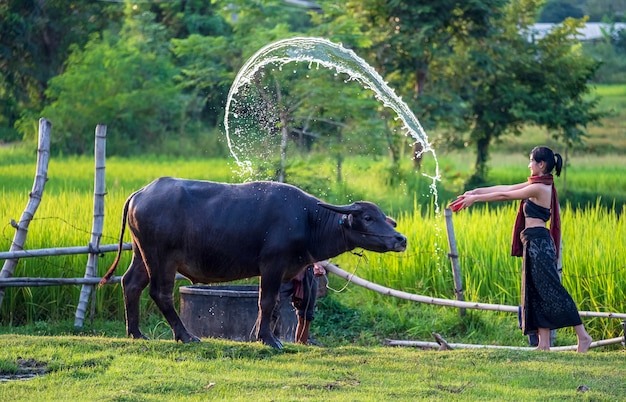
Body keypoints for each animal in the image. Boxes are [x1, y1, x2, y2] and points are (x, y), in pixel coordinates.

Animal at [100, 177, 408, 348]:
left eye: (385, 218)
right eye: (367, 217)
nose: (401, 239)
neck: (308, 220)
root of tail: (140, 193)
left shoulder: (281, 272)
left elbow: (272, 307)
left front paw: (261, 335)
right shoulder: (272, 265)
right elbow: (267, 301)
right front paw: (270, 341)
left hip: (141, 253)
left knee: (131, 284)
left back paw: (136, 333)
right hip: (161, 257)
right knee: (160, 293)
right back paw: (186, 336)